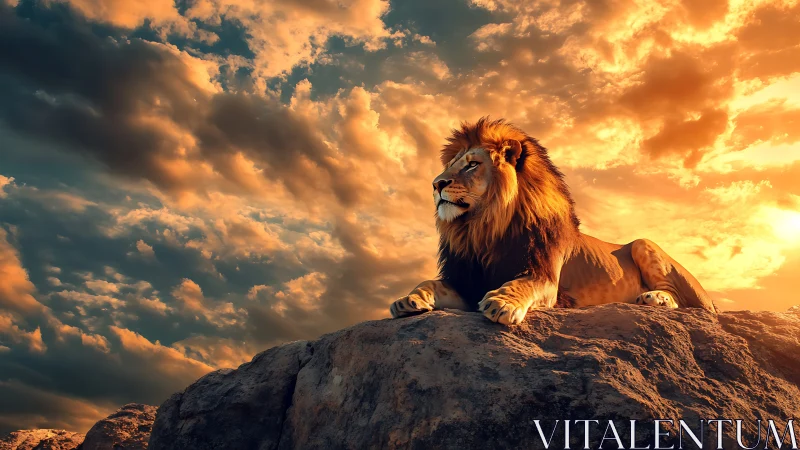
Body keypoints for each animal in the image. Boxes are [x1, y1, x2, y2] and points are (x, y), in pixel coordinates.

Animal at [389, 117, 717, 325]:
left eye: (472, 164)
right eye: (452, 165)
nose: (436, 184)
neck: (482, 228)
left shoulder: (544, 278)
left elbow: (521, 283)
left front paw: (502, 302)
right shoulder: (466, 282)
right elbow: (429, 281)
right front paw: (408, 299)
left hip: (644, 244)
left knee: (683, 299)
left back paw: (655, 298)